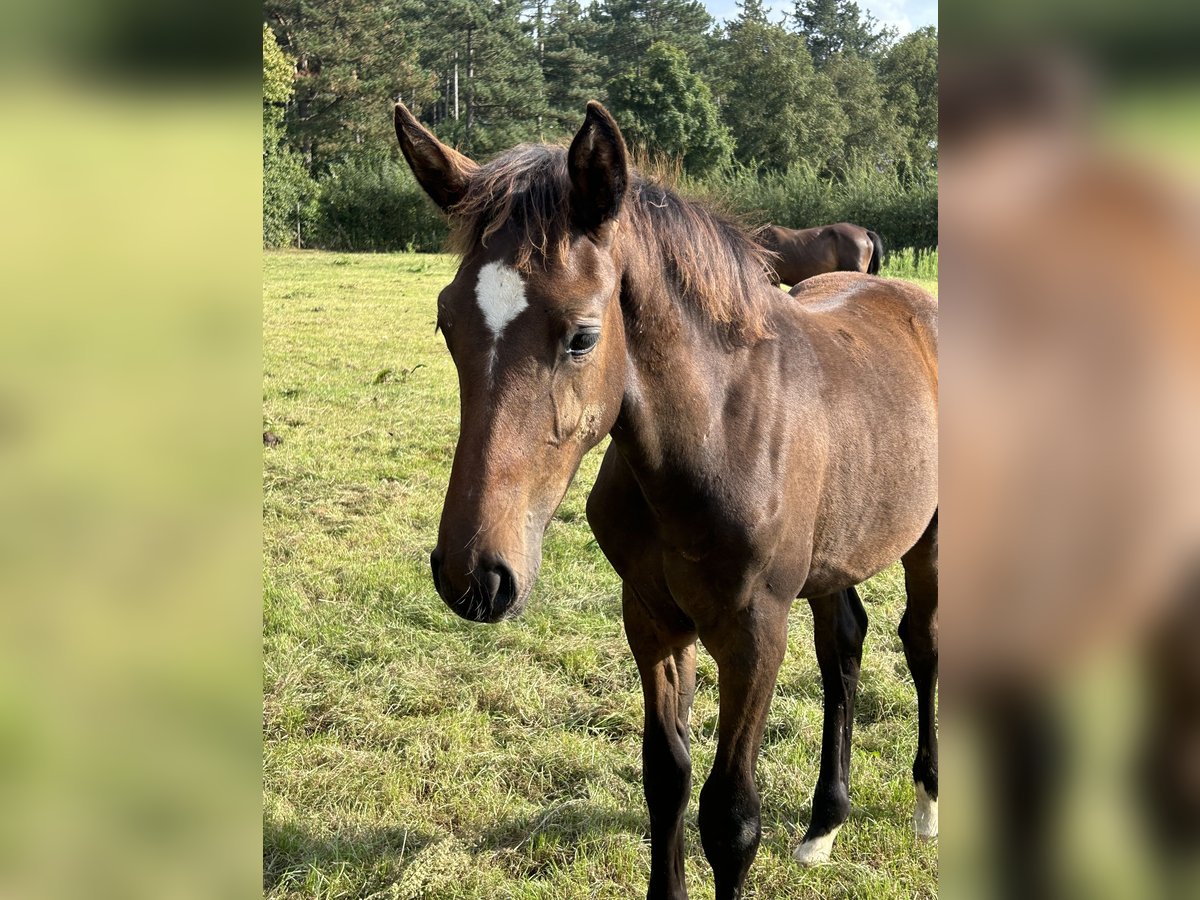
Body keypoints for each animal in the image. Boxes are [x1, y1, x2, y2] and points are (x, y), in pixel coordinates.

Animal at [393, 102, 936, 897]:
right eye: (445, 321)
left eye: (582, 336)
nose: (473, 576)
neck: (713, 439)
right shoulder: (651, 618)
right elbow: (666, 779)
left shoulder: (754, 634)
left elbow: (731, 818)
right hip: (835, 552)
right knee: (844, 643)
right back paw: (823, 827)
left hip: (929, 540)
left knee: (922, 643)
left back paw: (927, 803)